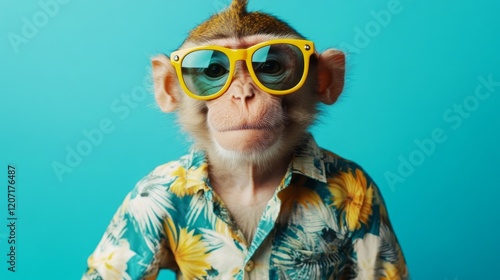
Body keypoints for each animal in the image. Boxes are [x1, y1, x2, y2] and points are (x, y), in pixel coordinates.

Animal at [83, 1, 410, 278]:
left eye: (269, 67)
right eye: (213, 70)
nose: (242, 94)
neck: (248, 177)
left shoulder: (365, 191)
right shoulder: (143, 197)